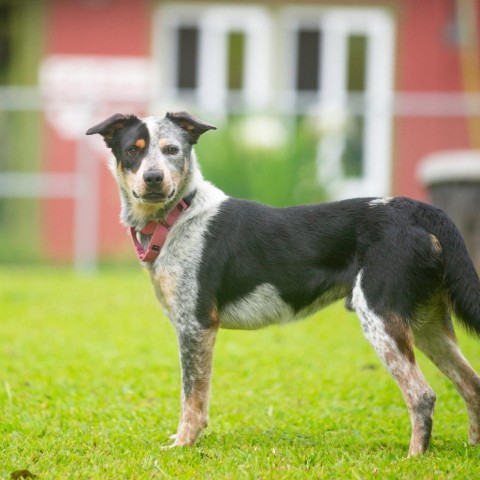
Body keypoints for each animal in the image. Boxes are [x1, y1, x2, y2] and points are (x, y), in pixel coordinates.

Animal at [86, 110, 480, 456]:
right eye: (132, 151)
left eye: (172, 150)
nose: (154, 178)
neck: (178, 216)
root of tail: (418, 209)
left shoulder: (196, 326)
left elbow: (192, 399)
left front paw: (182, 446)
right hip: (428, 325)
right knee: (472, 385)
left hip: (381, 318)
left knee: (422, 396)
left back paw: (414, 458)